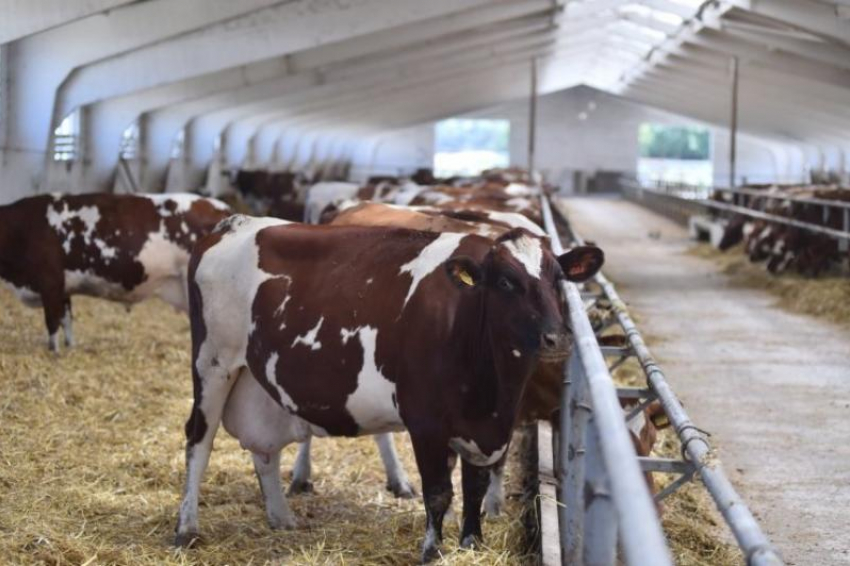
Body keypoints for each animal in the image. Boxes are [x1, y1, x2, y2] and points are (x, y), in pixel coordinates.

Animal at [0, 193, 230, 350]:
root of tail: (220, 208)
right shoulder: (63, 288)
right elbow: (66, 321)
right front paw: (69, 347)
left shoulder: (50, 284)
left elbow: (52, 323)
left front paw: (53, 352)